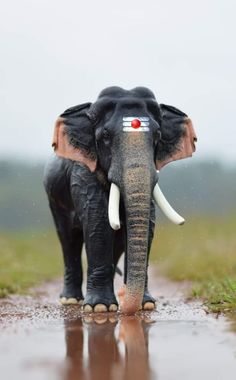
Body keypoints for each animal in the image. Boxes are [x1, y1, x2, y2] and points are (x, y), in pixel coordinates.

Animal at [43, 86, 196, 314]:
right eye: (105, 136)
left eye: (158, 135)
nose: (126, 302)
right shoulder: (83, 172)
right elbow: (98, 222)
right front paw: (99, 308)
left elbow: (148, 223)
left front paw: (146, 305)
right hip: (55, 198)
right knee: (68, 238)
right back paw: (71, 301)